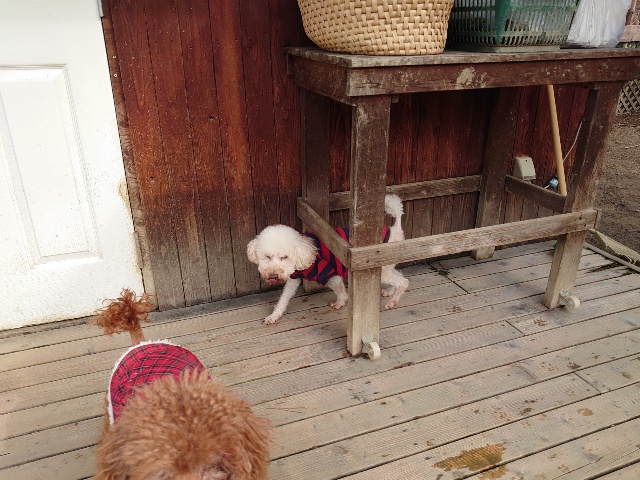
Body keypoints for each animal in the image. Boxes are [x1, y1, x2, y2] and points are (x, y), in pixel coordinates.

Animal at [247, 194, 409, 324]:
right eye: (268, 256)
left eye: (284, 257)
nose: (273, 276)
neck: (305, 251)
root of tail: (395, 229)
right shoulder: (294, 279)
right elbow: (284, 298)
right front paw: (274, 316)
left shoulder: (329, 273)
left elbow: (341, 292)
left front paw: (340, 303)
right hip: (387, 265)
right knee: (398, 276)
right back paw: (389, 291)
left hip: (381, 267)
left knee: (403, 281)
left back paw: (393, 301)